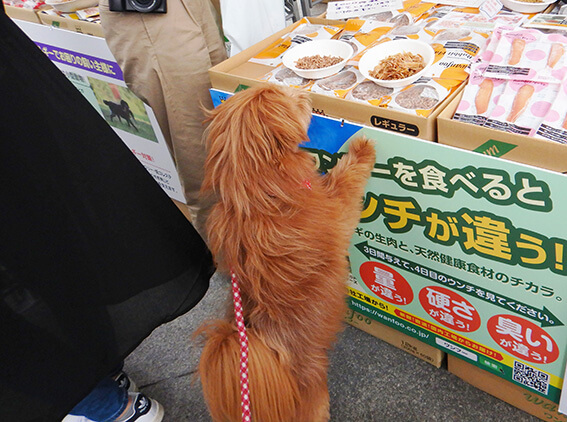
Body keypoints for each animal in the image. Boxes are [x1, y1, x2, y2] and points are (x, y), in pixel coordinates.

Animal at [197, 83, 374, 422]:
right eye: (292, 101)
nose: (304, 93)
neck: (259, 197)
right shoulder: (339, 212)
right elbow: (347, 178)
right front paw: (362, 148)